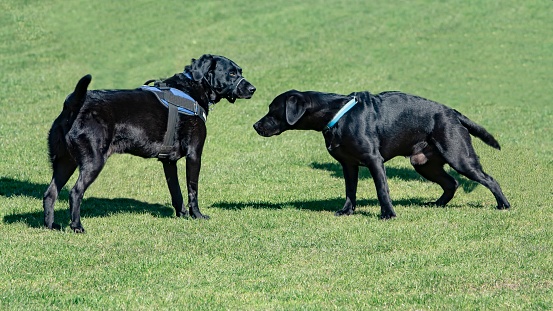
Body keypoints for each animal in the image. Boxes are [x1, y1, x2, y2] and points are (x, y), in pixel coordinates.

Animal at [44, 54, 256, 233]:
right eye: (231, 73)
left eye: (240, 71)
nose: (253, 89)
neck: (192, 89)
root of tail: (72, 106)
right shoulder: (194, 154)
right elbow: (192, 190)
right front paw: (196, 215)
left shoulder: (169, 162)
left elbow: (176, 192)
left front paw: (182, 215)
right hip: (93, 161)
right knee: (75, 192)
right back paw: (77, 226)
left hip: (64, 162)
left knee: (50, 193)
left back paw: (51, 225)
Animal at [254, 89, 508, 218]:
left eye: (273, 110)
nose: (256, 125)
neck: (337, 114)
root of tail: (453, 112)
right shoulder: (348, 165)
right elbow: (350, 191)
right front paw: (347, 211)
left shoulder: (374, 160)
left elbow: (381, 190)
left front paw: (388, 214)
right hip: (424, 163)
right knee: (451, 183)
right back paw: (437, 204)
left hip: (459, 156)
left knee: (489, 179)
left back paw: (503, 205)